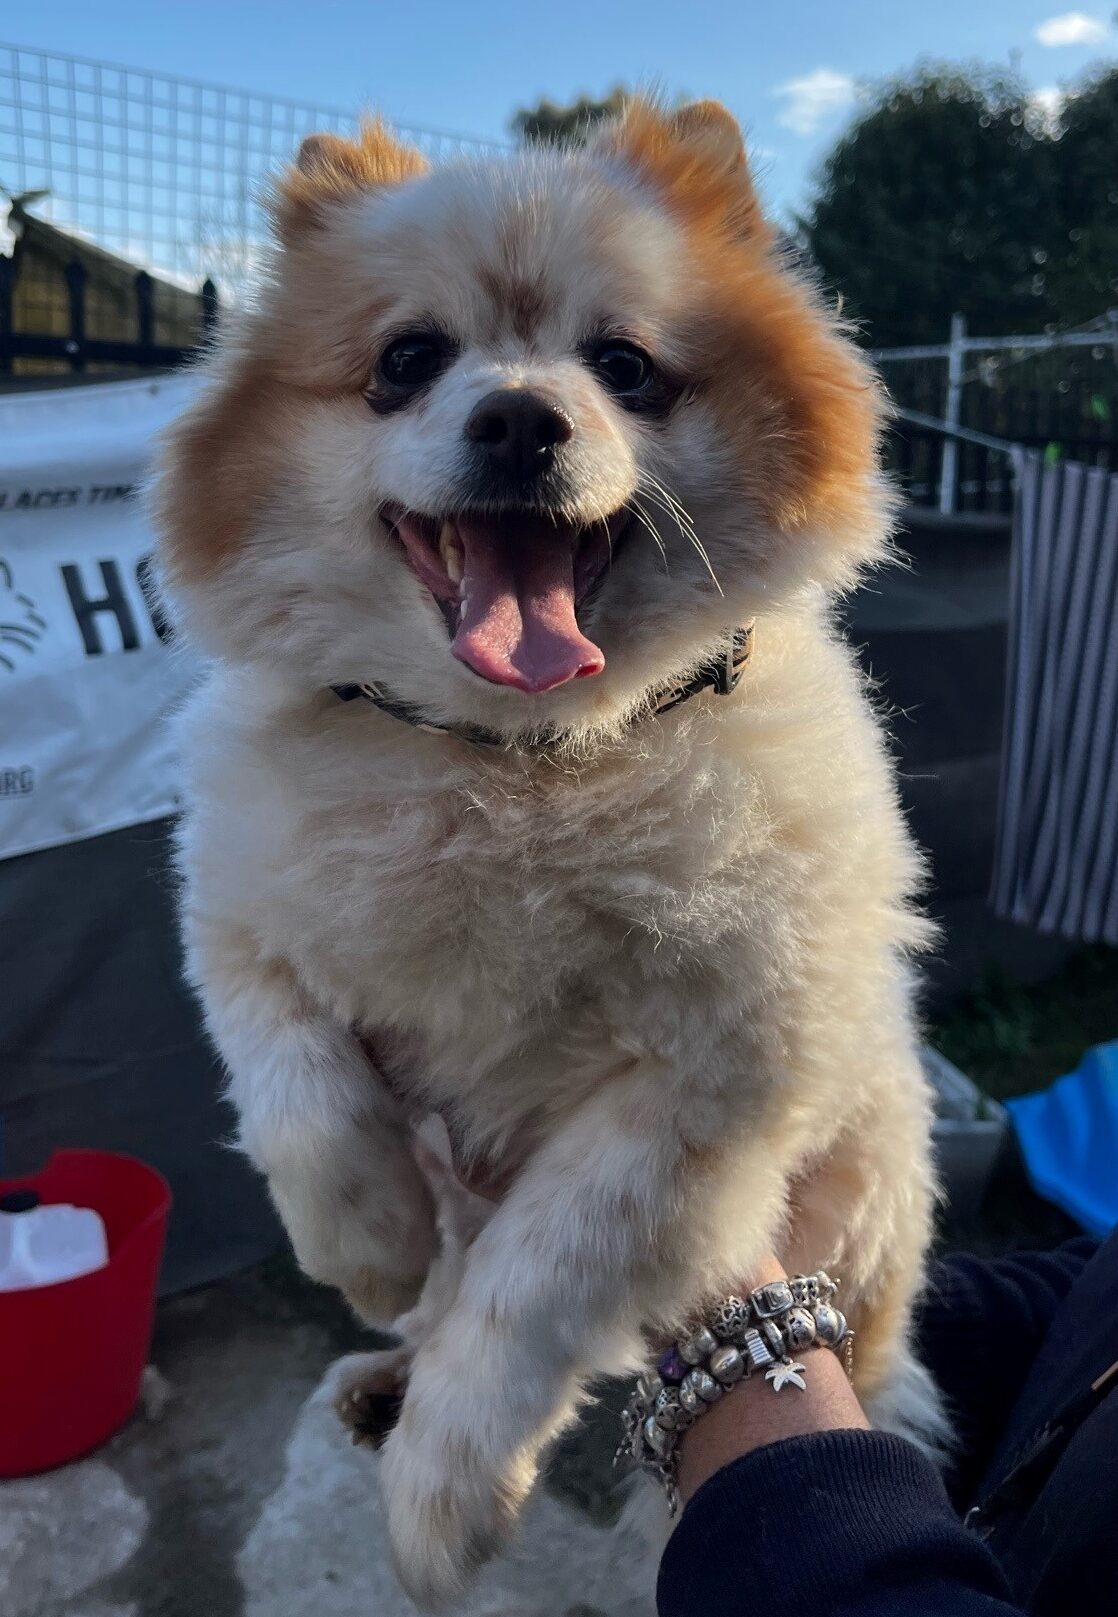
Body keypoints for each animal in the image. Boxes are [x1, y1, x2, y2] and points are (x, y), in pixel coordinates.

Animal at [154, 100, 947, 1606]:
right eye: (409, 361)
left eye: (623, 367)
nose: (520, 415)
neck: (512, 764)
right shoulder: (238, 924)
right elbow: (300, 1099)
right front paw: (369, 1247)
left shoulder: (710, 1088)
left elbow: (535, 1276)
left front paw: (439, 1492)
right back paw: (385, 1362)